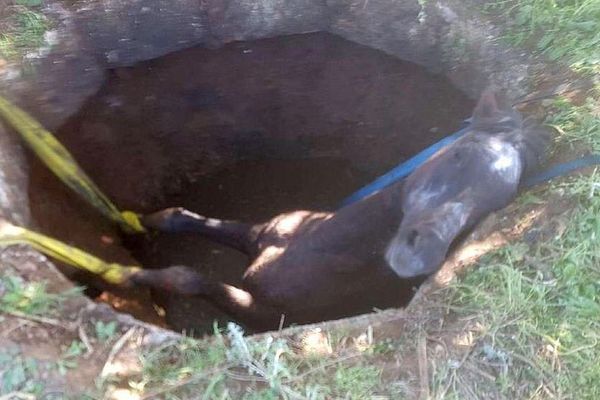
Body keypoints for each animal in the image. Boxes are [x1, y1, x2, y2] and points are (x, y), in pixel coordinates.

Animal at [126, 90, 548, 332]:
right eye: (460, 154)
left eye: (492, 206)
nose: (420, 257)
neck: (310, 247)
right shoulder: (257, 233)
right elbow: (182, 217)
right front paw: (136, 222)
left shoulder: (265, 315)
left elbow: (187, 277)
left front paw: (129, 275)